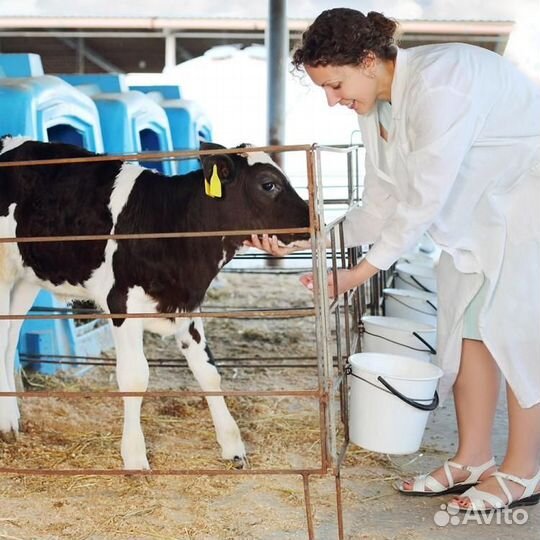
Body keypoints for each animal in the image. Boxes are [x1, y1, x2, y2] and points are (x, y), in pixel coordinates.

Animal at [0, 137, 310, 470]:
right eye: (269, 184)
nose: (313, 221)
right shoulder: (121, 302)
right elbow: (135, 377)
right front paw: (135, 457)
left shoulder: (187, 304)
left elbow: (208, 370)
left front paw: (232, 446)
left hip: (26, 279)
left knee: (10, 339)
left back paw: (11, 419)